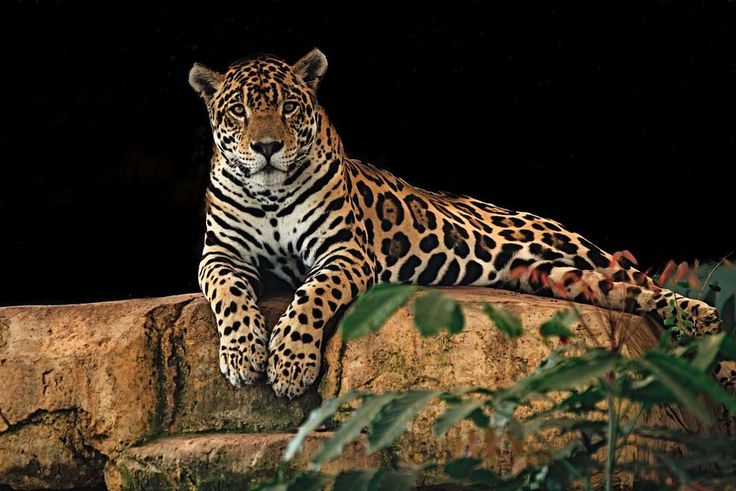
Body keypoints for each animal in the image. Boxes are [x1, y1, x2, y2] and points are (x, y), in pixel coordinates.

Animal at [188, 49, 732, 400]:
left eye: (288, 107)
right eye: (238, 112)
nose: (266, 147)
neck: (269, 193)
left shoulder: (344, 252)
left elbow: (312, 297)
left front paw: (289, 363)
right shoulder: (220, 254)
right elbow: (228, 293)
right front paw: (243, 354)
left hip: (573, 246)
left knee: (644, 281)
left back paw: (708, 328)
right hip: (557, 277)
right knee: (626, 293)